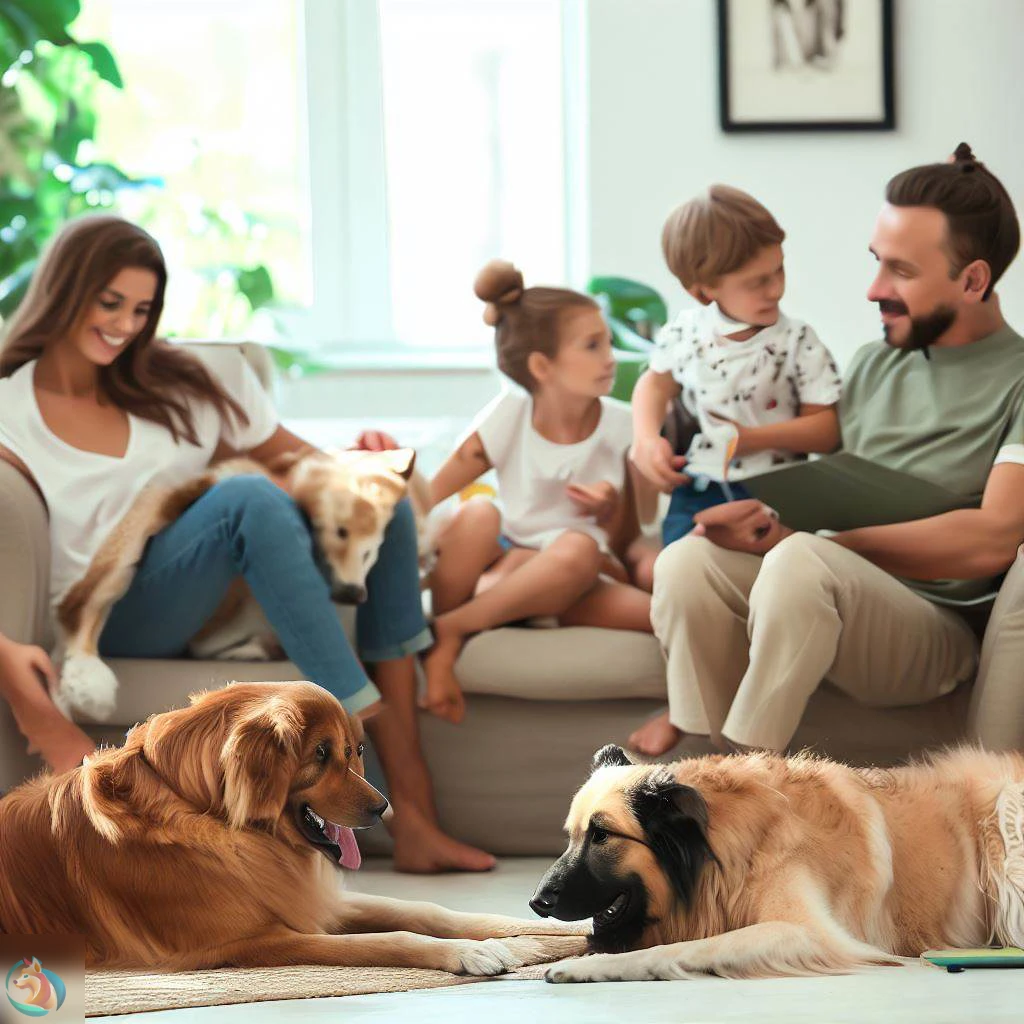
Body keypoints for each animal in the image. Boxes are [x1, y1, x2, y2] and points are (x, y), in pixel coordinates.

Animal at [0, 684, 585, 970]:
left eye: (354, 751)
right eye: (320, 755)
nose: (383, 808)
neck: (202, 812)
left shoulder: (308, 897)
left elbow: (426, 910)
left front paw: (545, 932)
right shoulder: (255, 939)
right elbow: (391, 937)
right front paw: (468, 953)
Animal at [532, 745, 1024, 983]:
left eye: (601, 835)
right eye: (572, 835)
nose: (537, 901)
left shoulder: (808, 932)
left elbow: (683, 948)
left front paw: (583, 968)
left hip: (1006, 829)